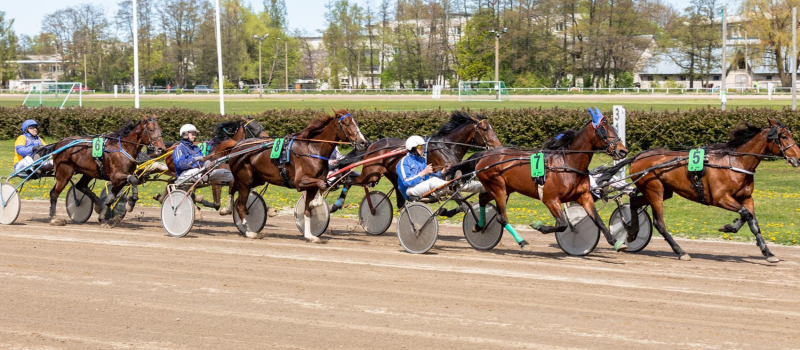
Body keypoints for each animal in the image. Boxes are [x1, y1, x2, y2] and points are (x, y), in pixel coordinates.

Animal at [228, 109, 368, 241]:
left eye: (356, 123)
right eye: (347, 124)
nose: (363, 143)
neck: (312, 150)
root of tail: (236, 146)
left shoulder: (312, 186)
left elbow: (308, 209)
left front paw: (309, 235)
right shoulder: (300, 182)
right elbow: (322, 185)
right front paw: (314, 204)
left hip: (256, 179)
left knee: (233, 187)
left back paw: (228, 209)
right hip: (245, 181)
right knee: (240, 205)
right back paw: (248, 231)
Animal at [330, 110, 500, 212]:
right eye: (485, 129)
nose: (497, 146)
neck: (447, 146)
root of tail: (372, 144)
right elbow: (460, 201)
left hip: (391, 175)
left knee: (399, 199)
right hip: (371, 173)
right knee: (348, 180)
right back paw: (338, 205)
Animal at [446, 108, 628, 250]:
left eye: (614, 129)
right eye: (604, 131)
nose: (623, 151)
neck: (567, 164)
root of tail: (484, 154)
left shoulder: (584, 196)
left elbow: (598, 220)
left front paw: (616, 241)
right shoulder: (550, 199)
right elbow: (562, 225)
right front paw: (539, 226)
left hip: (503, 188)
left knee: (483, 198)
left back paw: (479, 226)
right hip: (498, 187)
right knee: (501, 217)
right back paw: (521, 241)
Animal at [608, 118, 800, 262]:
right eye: (784, 136)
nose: (798, 158)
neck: (735, 163)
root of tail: (639, 156)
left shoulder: (747, 197)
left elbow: (752, 221)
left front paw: (768, 252)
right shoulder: (720, 198)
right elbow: (746, 214)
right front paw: (728, 227)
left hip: (664, 191)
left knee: (634, 201)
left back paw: (631, 232)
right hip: (654, 190)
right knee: (659, 223)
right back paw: (680, 251)